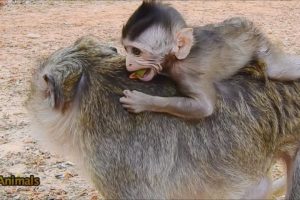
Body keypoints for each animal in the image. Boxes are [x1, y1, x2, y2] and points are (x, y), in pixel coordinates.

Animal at [119, 0, 300, 119]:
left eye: (136, 52)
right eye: (126, 50)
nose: (128, 63)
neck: (177, 58)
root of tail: (245, 24)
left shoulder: (188, 73)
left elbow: (204, 107)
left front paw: (142, 101)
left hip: (258, 42)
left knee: (276, 69)